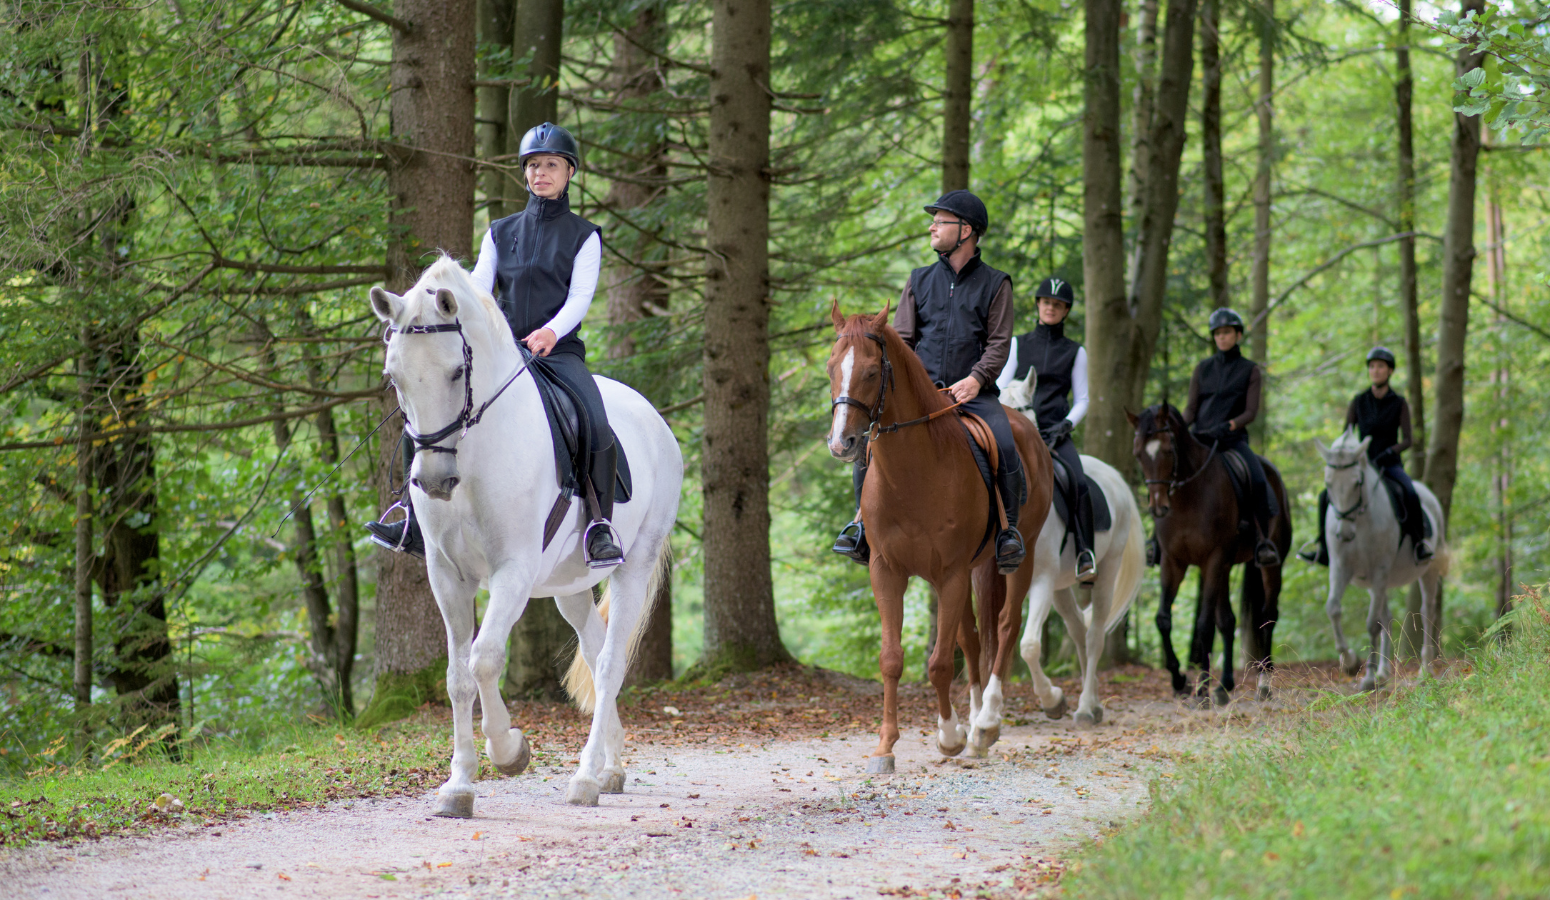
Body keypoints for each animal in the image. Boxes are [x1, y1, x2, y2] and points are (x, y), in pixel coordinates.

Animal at [368, 254, 685, 811]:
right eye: (394, 376)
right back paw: (611, 768)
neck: (473, 453)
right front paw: (459, 785)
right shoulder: (446, 575)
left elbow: (485, 660)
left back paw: (585, 778)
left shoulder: (511, 571)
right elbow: (457, 676)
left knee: (609, 662)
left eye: (457, 371)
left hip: (635, 565)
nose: (434, 480)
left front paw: (510, 750)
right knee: (595, 651)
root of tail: (657, 423)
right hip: (569, 587)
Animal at [824, 302, 1054, 771]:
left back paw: (986, 722)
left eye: (872, 372)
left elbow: (940, 664)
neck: (913, 471)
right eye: (831, 367)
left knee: (1006, 626)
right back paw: (975, 723)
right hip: (973, 570)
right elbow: (892, 659)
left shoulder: (949, 574)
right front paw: (885, 747)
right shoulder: (888, 570)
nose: (842, 444)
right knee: (974, 636)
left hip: (1017, 558)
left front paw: (949, 736)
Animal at [998, 368, 1147, 724]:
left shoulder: (1040, 580)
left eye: (1023, 410)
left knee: (1094, 637)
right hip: (1061, 587)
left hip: (1105, 571)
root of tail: (1115, 477)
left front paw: (1052, 699)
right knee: (1079, 630)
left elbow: (1029, 645)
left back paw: (1085, 707)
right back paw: (1092, 701)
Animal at [1128, 402, 1295, 706]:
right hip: (1226, 568)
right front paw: (1180, 680)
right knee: (1228, 621)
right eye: (1138, 454)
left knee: (1267, 614)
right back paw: (1225, 686)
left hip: (1267, 565)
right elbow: (1163, 619)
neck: (1187, 497)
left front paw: (1202, 690)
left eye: (1168, 450)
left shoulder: (1212, 560)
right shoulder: (1173, 563)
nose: (1158, 507)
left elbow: (1204, 625)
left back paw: (1263, 683)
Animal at [1314, 427, 1444, 687]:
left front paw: (1368, 676)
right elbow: (1333, 608)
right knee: (1387, 616)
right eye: (1328, 483)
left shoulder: (1380, 570)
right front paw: (1350, 661)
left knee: (1427, 612)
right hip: (1378, 583)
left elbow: (1372, 624)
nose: (1344, 534)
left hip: (1426, 571)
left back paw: (1424, 670)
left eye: (1357, 482)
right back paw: (1384, 672)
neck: (1361, 521)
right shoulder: (1341, 568)